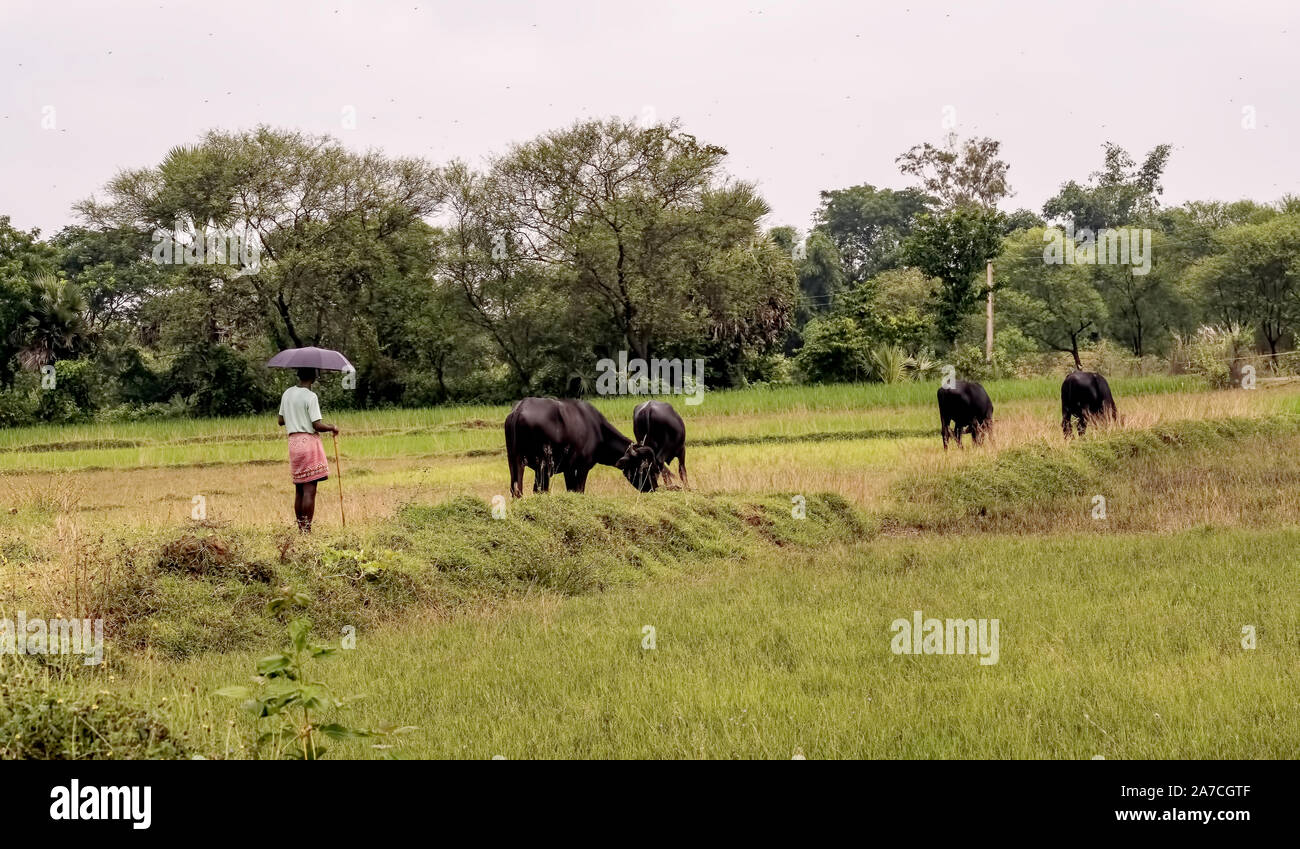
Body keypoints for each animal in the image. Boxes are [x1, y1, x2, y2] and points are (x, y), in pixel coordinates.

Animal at [501, 397, 634, 496]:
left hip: (514, 461)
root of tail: (519, 410)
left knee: (516, 489)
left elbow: (571, 490)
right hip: (543, 465)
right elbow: (579, 490)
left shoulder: (568, 469)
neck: (598, 431)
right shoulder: (582, 467)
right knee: (539, 490)